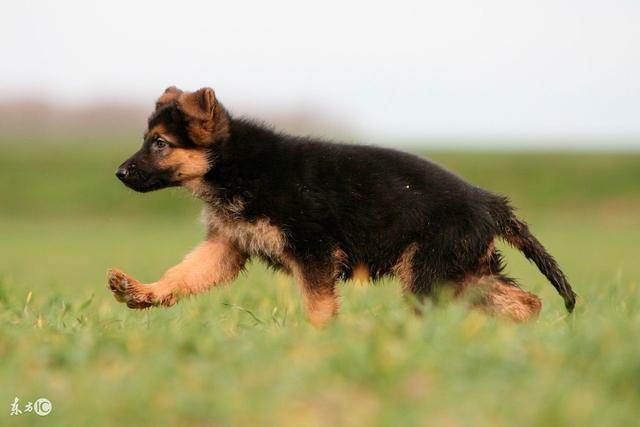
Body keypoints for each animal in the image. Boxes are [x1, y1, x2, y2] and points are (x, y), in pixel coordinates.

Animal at [107, 87, 576, 328]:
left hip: (429, 271)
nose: (119, 173)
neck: (235, 167)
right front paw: (141, 291)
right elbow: (183, 275)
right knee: (526, 300)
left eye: (160, 143)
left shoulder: (313, 250)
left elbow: (318, 306)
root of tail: (490, 202)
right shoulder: (227, 246)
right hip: (461, 271)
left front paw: (320, 341)